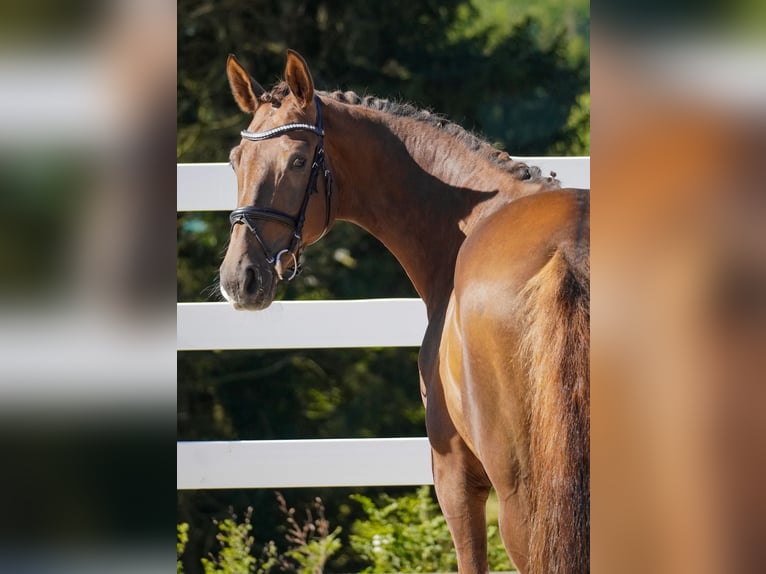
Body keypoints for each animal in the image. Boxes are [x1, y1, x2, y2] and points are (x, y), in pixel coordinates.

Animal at [219, 50, 592, 574]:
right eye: (236, 161)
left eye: (297, 160)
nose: (240, 278)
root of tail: (565, 251)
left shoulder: (454, 476)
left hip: (523, 500)